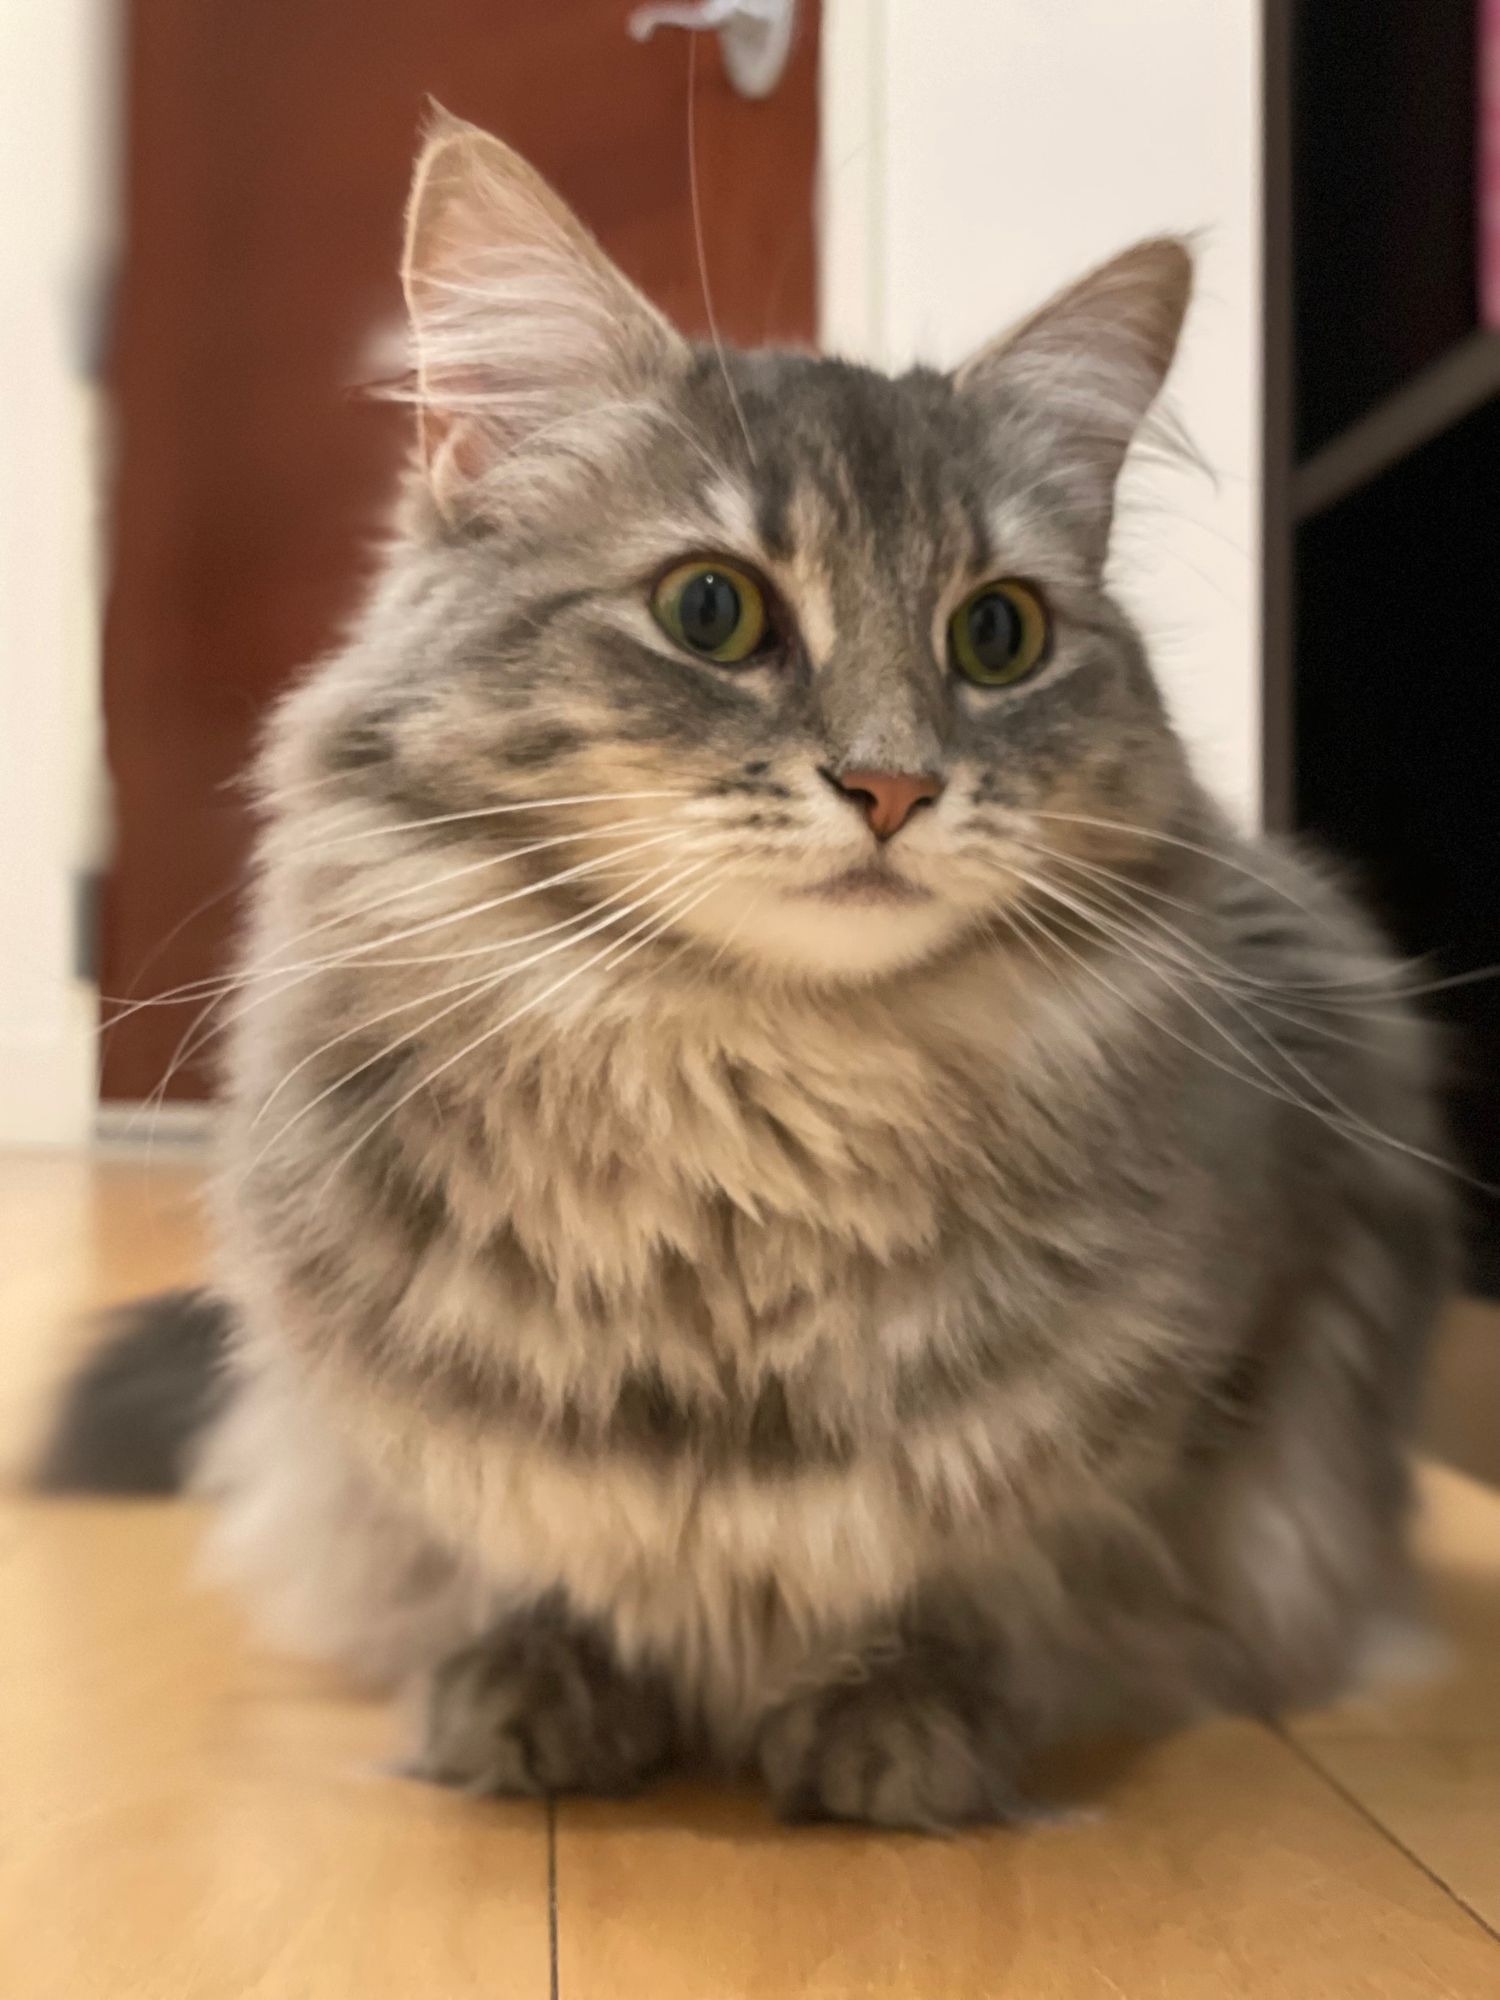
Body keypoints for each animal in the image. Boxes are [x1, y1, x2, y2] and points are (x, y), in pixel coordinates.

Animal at [50, 113, 1456, 1832]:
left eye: (998, 636)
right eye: (711, 610)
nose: (894, 784)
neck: (758, 1097)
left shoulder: (1215, 1370)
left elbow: (1004, 1567)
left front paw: (899, 1715)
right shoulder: (381, 1405)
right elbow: (505, 1544)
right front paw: (531, 1685)